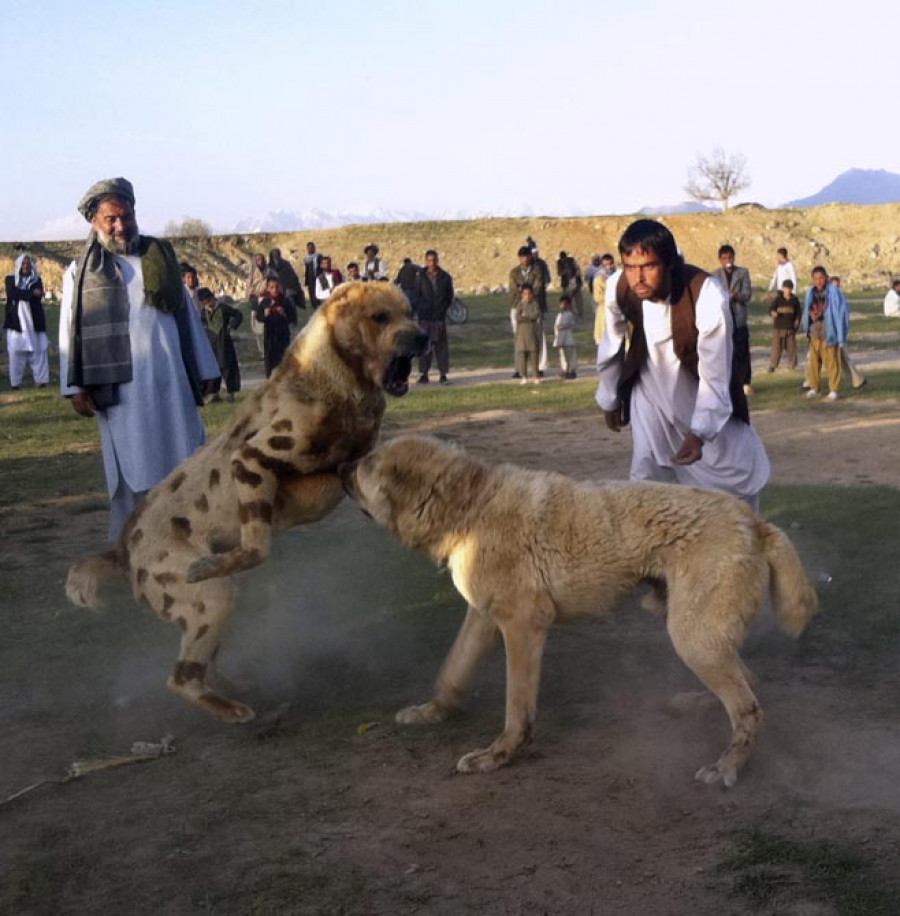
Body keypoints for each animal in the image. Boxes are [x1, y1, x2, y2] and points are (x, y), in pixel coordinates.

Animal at [67, 282, 426, 728]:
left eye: (409, 312)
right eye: (380, 317)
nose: (422, 337)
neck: (329, 379)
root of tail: (121, 549)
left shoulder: (355, 462)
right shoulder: (251, 461)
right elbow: (256, 548)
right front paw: (213, 562)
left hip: (204, 615)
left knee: (203, 665)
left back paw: (231, 689)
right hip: (212, 599)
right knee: (181, 678)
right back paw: (228, 707)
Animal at [342, 432, 820, 784]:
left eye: (366, 464)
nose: (341, 466)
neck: (471, 505)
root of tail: (756, 523)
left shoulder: (523, 624)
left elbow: (516, 707)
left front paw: (499, 755)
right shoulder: (483, 617)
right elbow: (452, 673)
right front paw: (432, 713)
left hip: (691, 636)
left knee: (749, 708)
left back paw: (727, 766)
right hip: (698, 634)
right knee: (746, 681)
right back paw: (698, 705)